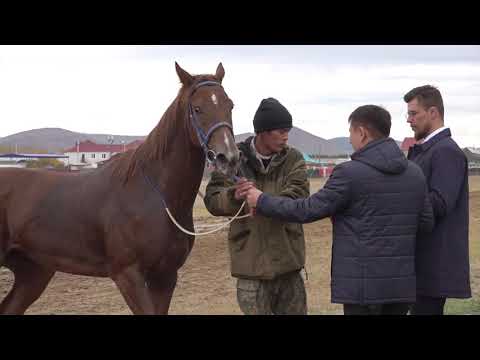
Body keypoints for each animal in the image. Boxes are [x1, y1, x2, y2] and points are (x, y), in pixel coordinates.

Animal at [0, 61, 240, 312]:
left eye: (230, 105)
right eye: (197, 108)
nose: (228, 158)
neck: (154, 195)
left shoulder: (165, 276)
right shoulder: (128, 275)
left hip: (34, 272)